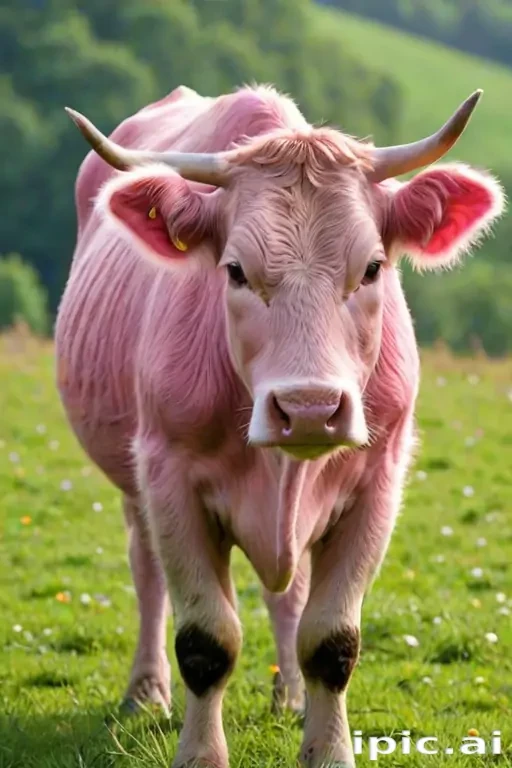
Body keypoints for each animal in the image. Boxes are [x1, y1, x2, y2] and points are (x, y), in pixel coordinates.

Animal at [55, 84, 504, 768]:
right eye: (235, 270)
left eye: (373, 267)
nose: (310, 408)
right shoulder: (169, 476)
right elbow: (206, 640)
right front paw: (200, 754)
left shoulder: (377, 483)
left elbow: (332, 640)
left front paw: (328, 749)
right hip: (134, 481)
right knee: (147, 571)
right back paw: (146, 691)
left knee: (286, 597)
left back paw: (289, 697)